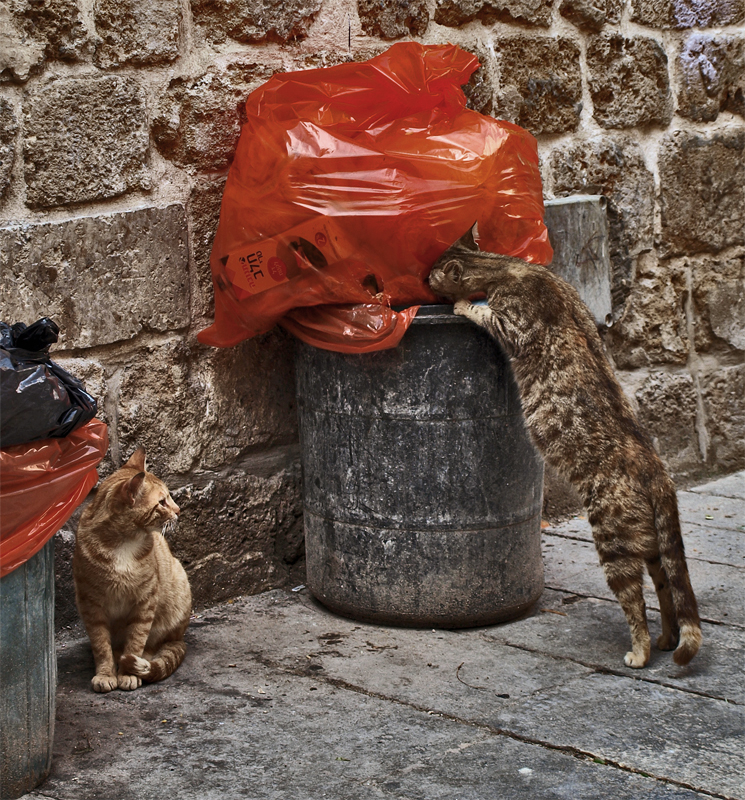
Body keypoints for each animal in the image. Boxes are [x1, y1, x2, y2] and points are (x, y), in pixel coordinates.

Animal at [73, 446, 192, 692]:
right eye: (162, 502)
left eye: (169, 498)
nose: (179, 510)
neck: (123, 543)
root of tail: (179, 637)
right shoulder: (91, 604)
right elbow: (100, 644)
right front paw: (106, 673)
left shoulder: (145, 601)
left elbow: (137, 639)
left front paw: (128, 673)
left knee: (153, 646)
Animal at [428, 227, 700, 668]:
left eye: (433, 272)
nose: (421, 276)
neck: (509, 266)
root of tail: (655, 467)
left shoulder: (511, 321)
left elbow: (484, 313)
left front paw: (466, 304)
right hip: (655, 550)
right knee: (666, 592)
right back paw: (666, 638)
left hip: (613, 541)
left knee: (636, 604)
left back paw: (640, 651)